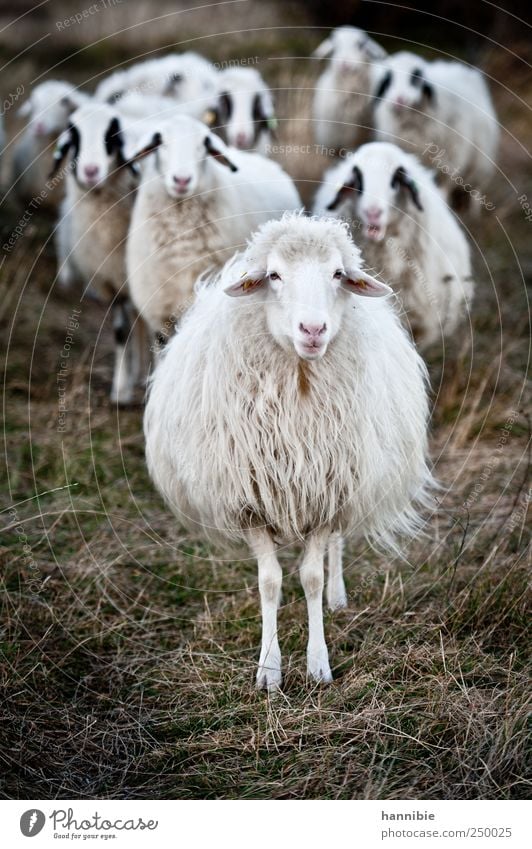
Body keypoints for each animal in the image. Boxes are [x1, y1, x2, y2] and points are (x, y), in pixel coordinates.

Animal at [52, 99, 148, 404]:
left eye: (111, 136)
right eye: (75, 137)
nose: (91, 171)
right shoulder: (111, 280)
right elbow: (120, 332)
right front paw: (119, 389)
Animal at [143, 212, 434, 688]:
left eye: (337, 274)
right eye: (275, 275)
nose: (313, 330)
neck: (299, 381)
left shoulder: (327, 492)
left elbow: (311, 578)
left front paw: (318, 665)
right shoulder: (250, 503)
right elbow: (270, 582)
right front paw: (269, 669)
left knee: (336, 545)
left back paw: (338, 596)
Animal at [372, 51, 500, 207]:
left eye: (415, 78)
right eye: (389, 80)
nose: (399, 100)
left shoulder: (450, 158)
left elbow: (445, 186)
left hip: (479, 161)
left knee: (476, 189)